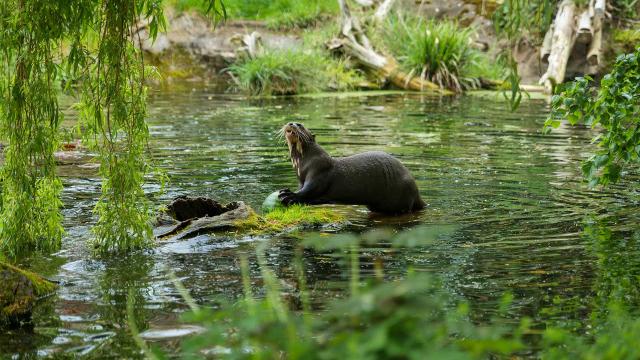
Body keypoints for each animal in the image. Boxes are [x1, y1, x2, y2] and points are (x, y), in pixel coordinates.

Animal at [278, 124, 424, 214]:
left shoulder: (319, 171)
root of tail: (417, 192)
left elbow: (309, 189)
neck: (303, 164)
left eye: (300, 125)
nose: (291, 123)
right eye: (291, 122)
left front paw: (289, 195)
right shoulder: (301, 179)